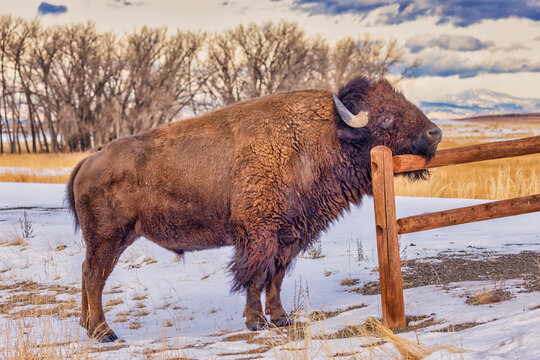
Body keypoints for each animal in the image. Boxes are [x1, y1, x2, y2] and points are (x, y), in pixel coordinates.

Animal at [67, 76, 440, 340]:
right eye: (386, 117)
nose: (435, 133)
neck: (322, 136)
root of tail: (89, 161)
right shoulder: (258, 235)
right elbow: (255, 276)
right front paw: (256, 321)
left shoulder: (289, 237)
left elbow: (276, 277)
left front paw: (281, 317)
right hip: (109, 238)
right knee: (94, 277)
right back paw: (104, 333)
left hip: (105, 240)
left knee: (86, 275)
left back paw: (88, 327)